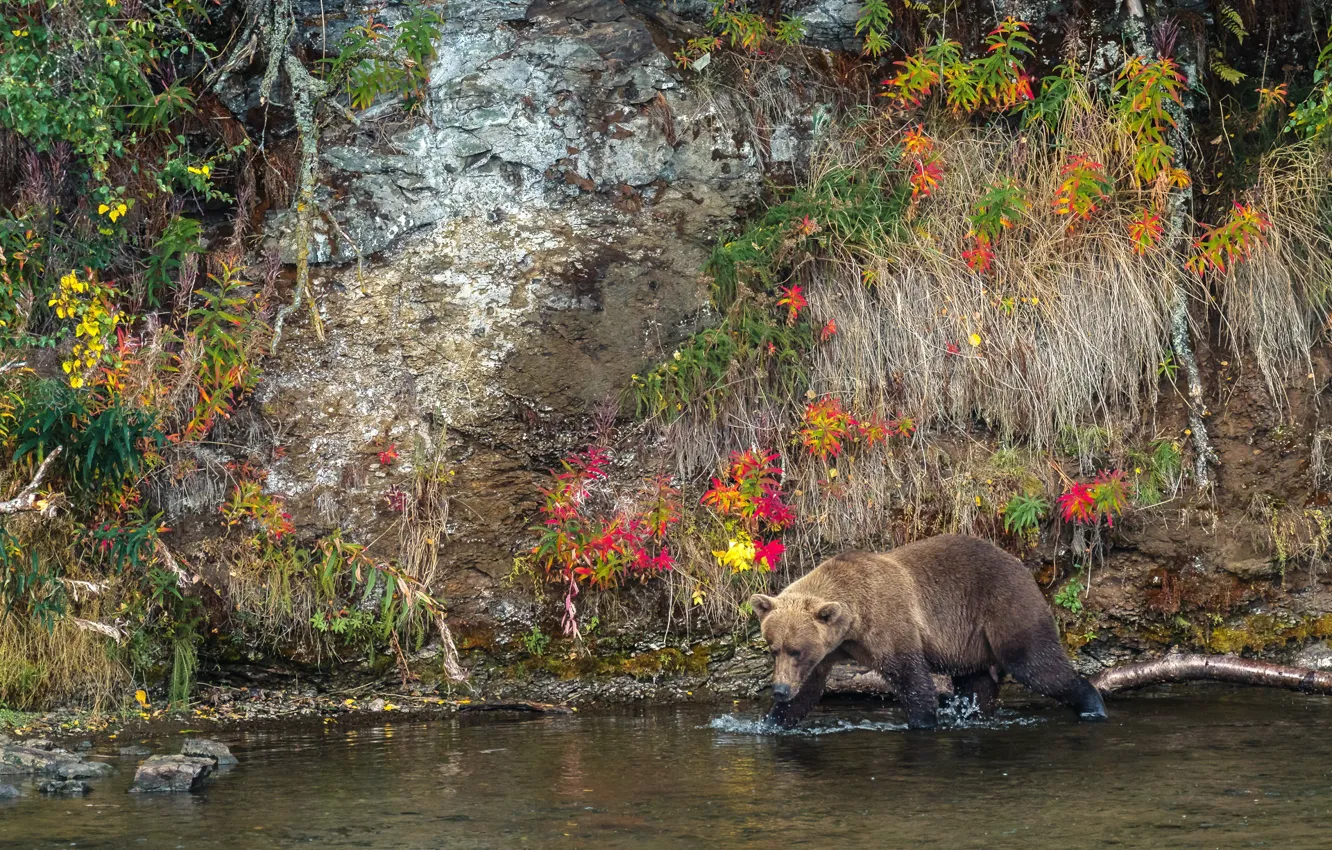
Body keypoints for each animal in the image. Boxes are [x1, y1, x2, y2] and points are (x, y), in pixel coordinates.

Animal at [751, 535, 1102, 730]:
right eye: (774, 647)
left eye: (796, 650)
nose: (778, 689)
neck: (853, 622)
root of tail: (1022, 566)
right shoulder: (829, 649)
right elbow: (807, 691)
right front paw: (770, 722)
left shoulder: (890, 623)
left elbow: (911, 678)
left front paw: (923, 721)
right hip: (971, 642)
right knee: (977, 684)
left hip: (1006, 606)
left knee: (1035, 663)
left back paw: (1092, 705)